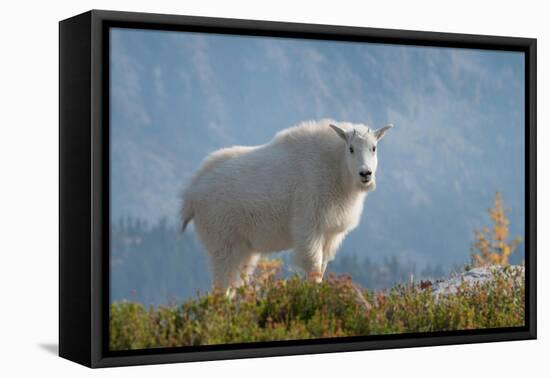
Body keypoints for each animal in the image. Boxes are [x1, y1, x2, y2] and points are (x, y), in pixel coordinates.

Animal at [181, 120, 392, 290]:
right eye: (351, 148)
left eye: (374, 147)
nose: (365, 174)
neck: (337, 169)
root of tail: (191, 194)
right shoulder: (309, 224)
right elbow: (313, 267)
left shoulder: (330, 233)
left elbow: (323, 266)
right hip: (222, 241)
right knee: (222, 285)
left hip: (243, 248)